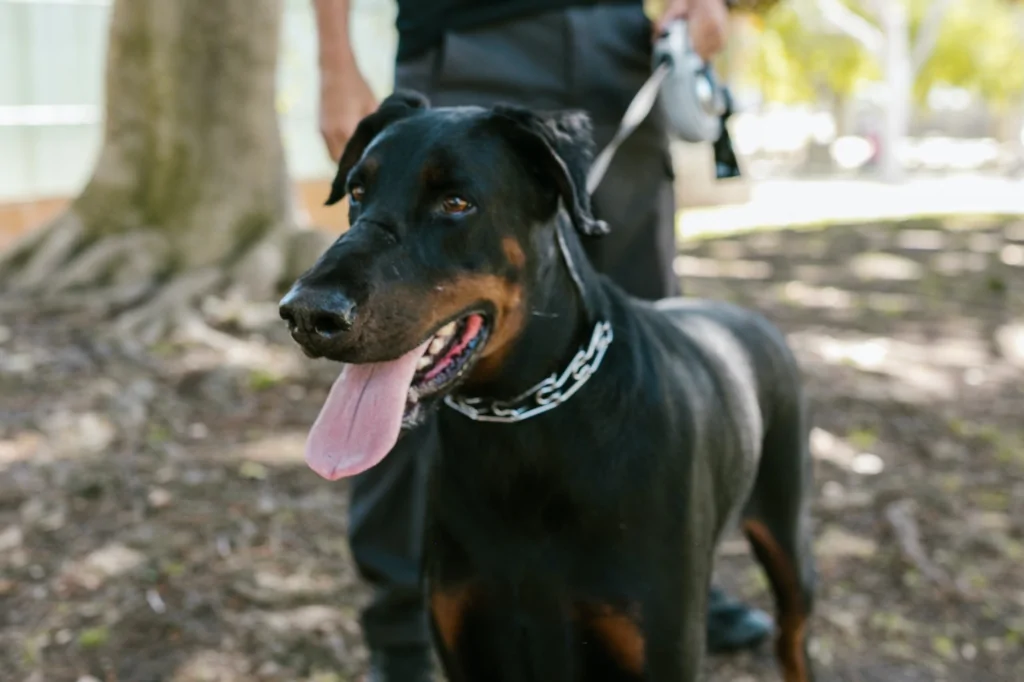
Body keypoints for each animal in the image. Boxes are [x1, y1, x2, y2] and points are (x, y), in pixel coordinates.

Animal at [280, 91, 815, 679]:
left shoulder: (658, 648)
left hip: (786, 528)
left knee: (792, 635)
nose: (306, 314)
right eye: (357, 191)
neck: (521, 424)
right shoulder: (466, 638)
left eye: (456, 203)